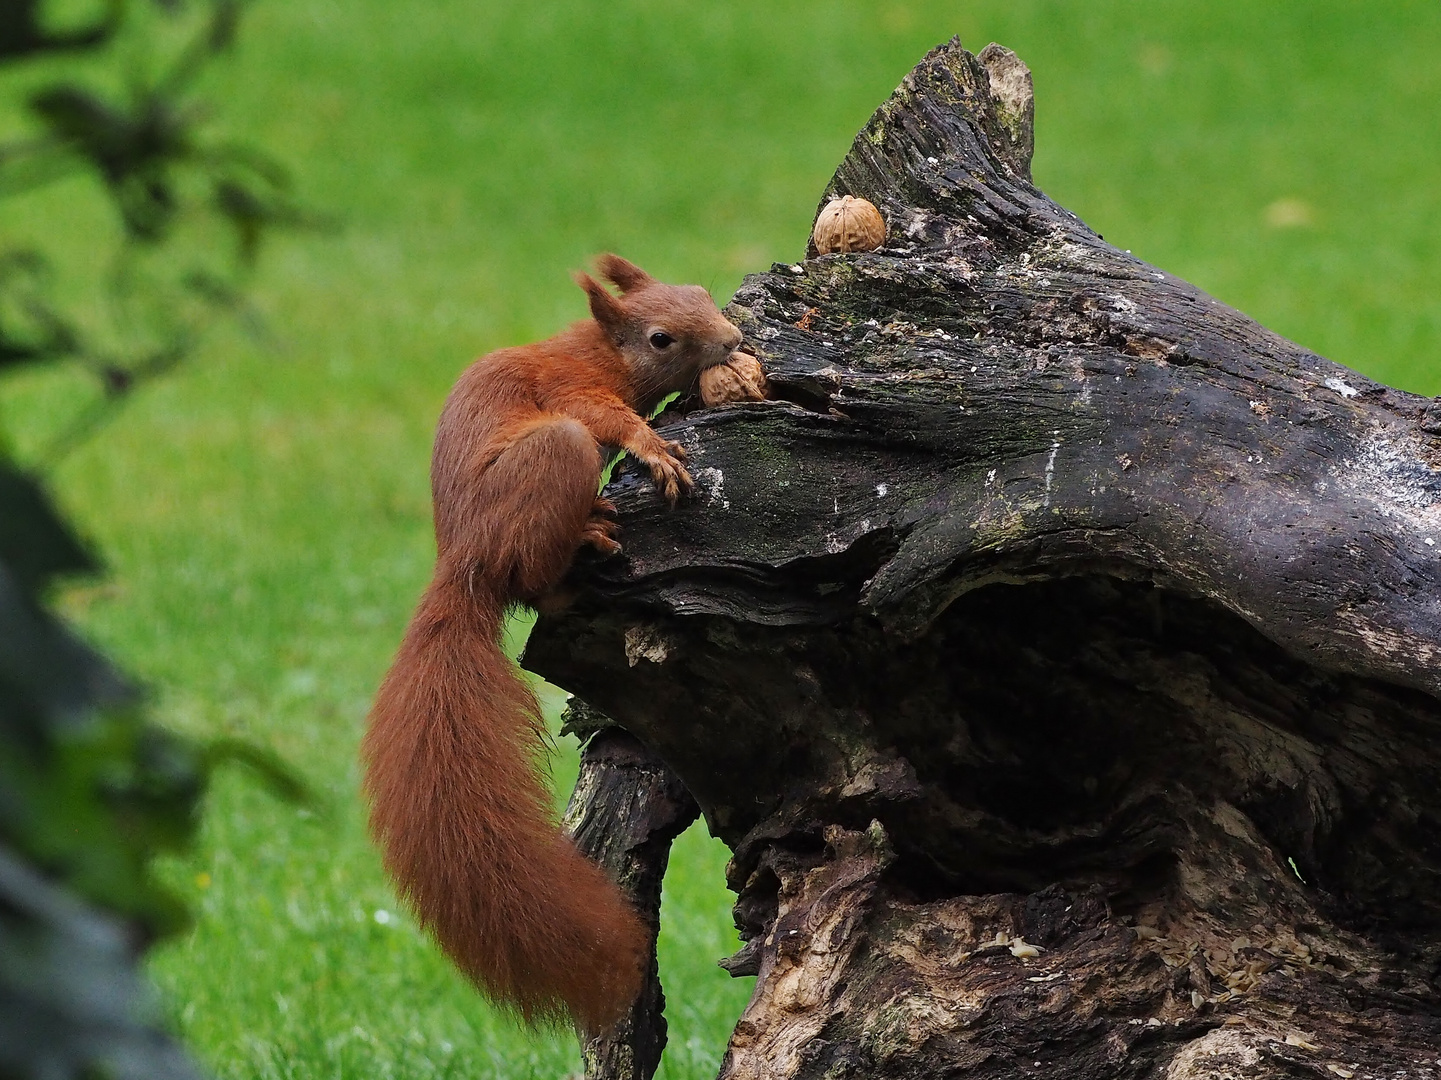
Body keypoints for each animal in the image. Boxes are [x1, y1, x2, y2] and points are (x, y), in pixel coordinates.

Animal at [360, 252, 743, 1026]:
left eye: (700, 292)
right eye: (661, 338)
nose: (730, 339)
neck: (600, 348)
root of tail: (467, 564)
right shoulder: (573, 387)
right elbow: (608, 416)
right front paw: (653, 446)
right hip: (550, 463)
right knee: (536, 578)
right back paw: (581, 547)